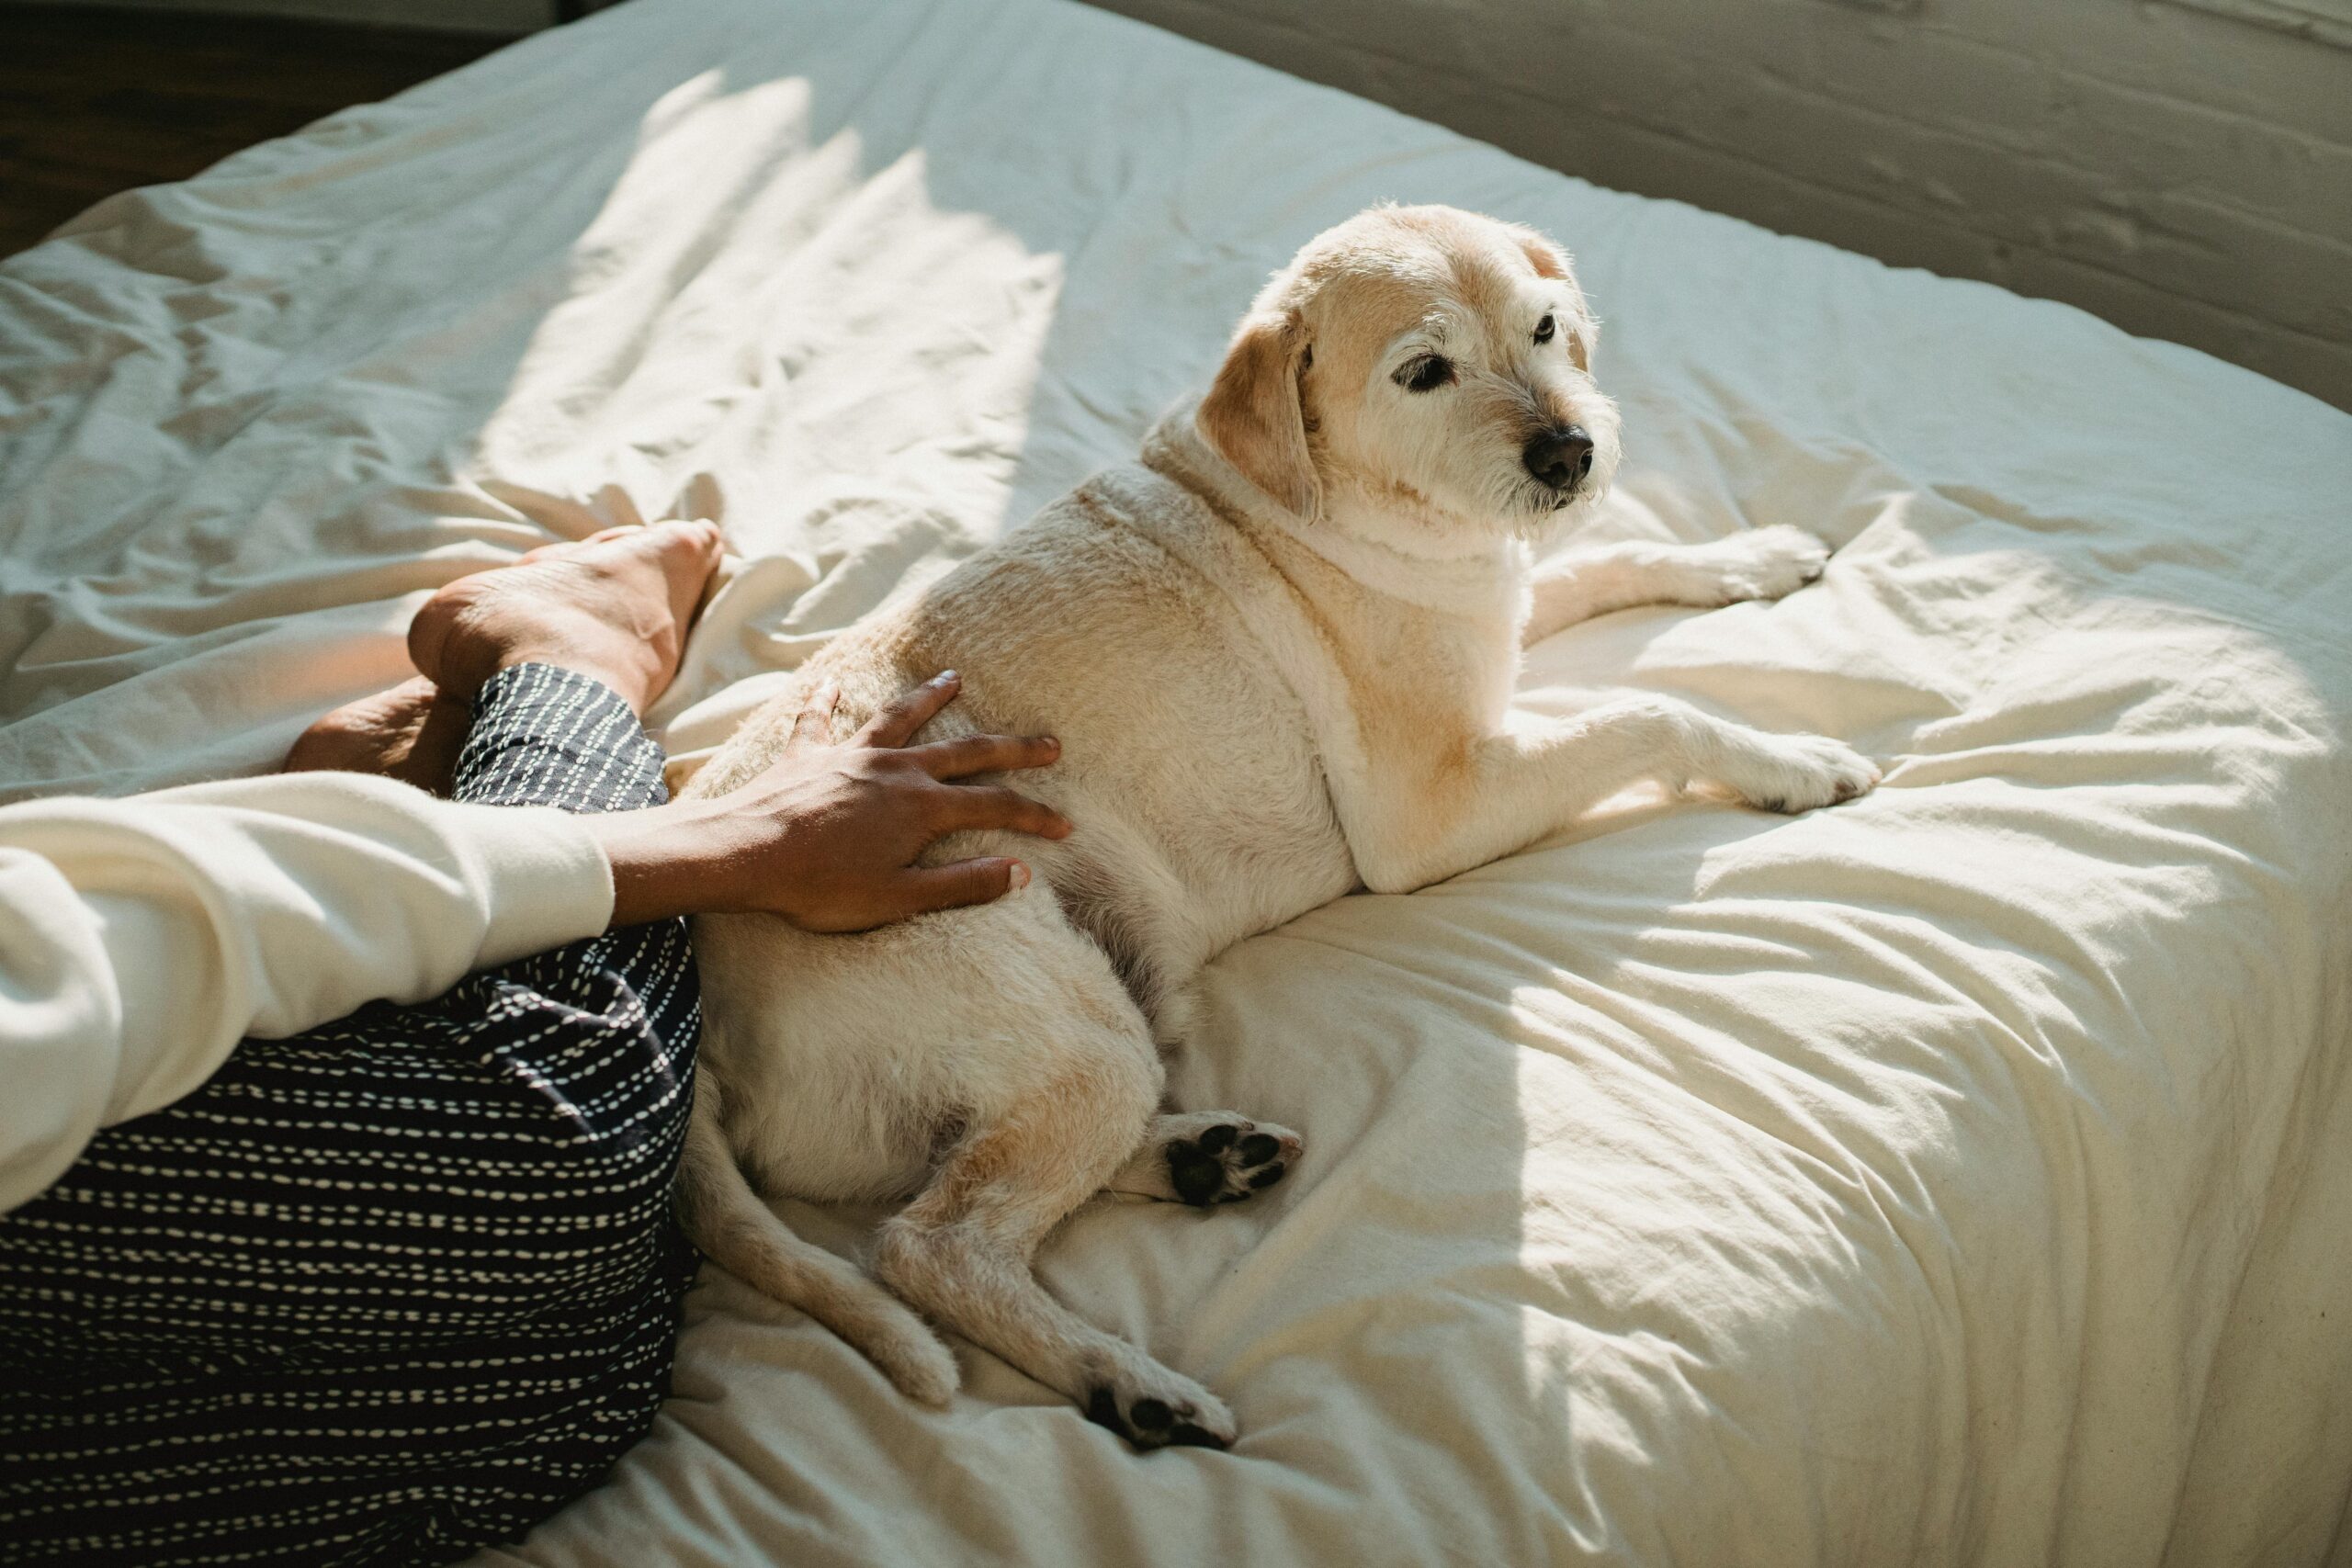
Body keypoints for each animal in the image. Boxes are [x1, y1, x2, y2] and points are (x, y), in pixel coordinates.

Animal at [677, 202, 1871, 1457]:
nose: (1568, 452)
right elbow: (1655, 714)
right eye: (1424, 373)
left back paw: (1202, 1161)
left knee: (960, 1180)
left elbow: (1619, 558)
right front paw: (1790, 761)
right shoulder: (1431, 815)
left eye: (1544, 328)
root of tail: (701, 998)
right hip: (1067, 1025)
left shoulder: (1499, 607)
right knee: (929, 1243)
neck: (1336, 500)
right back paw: (1132, 1381)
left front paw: (1749, 555)